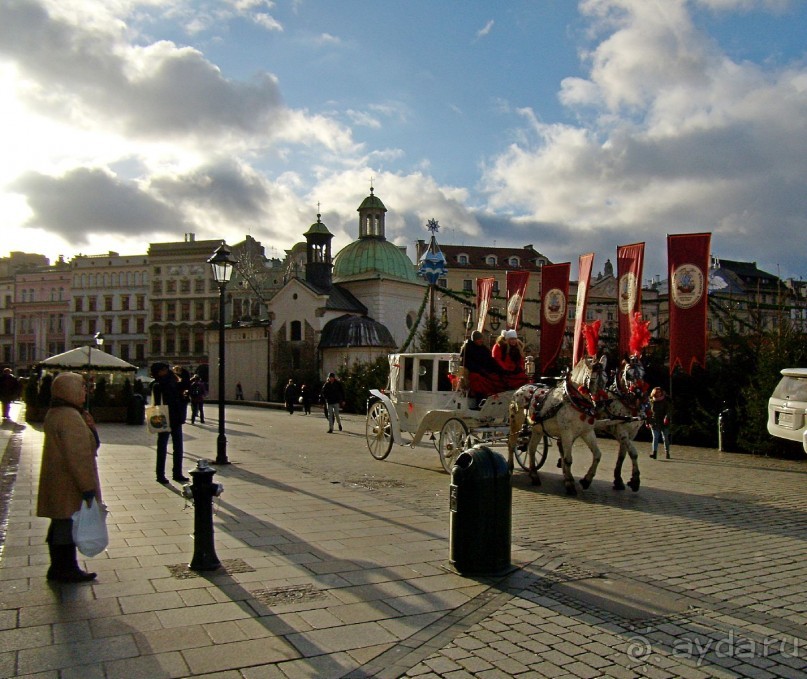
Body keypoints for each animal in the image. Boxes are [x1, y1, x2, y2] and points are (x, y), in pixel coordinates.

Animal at [508, 356, 608, 494]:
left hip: (537, 429)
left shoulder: (587, 432)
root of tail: (522, 388)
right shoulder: (566, 433)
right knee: (511, 445)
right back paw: (510, 468)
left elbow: (597, 455)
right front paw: (570, 483)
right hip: (516, 422)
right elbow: (568, 459)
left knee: (531, 448)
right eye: (592, 380)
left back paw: (534, 476)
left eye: (606, 379)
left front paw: (586, 480)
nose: (601, 404)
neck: (573, 400)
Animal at [596, 358, 652, 492]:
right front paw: (635, 480)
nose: (639, 394)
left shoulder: (631, 434)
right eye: (628, 374)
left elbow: (622, 455)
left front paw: (618, 480)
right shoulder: (622, 432)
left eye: (643, 374)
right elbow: (633, 453)